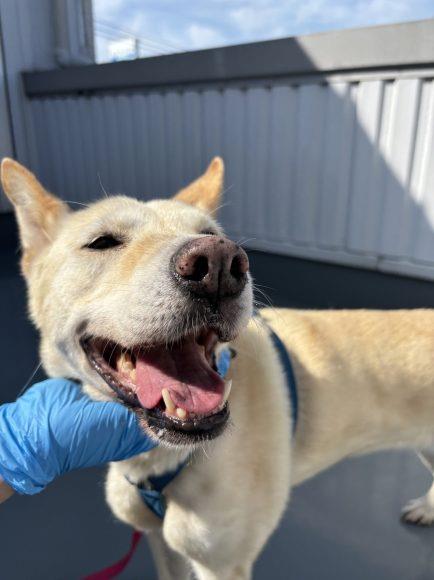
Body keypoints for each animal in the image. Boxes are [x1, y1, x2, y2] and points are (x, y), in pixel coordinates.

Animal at [3, 157, 434, 579]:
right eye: (103, 242)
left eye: (211, 232)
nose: (219, 264)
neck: (160, 462)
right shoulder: (161, 544)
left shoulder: (224, 565)